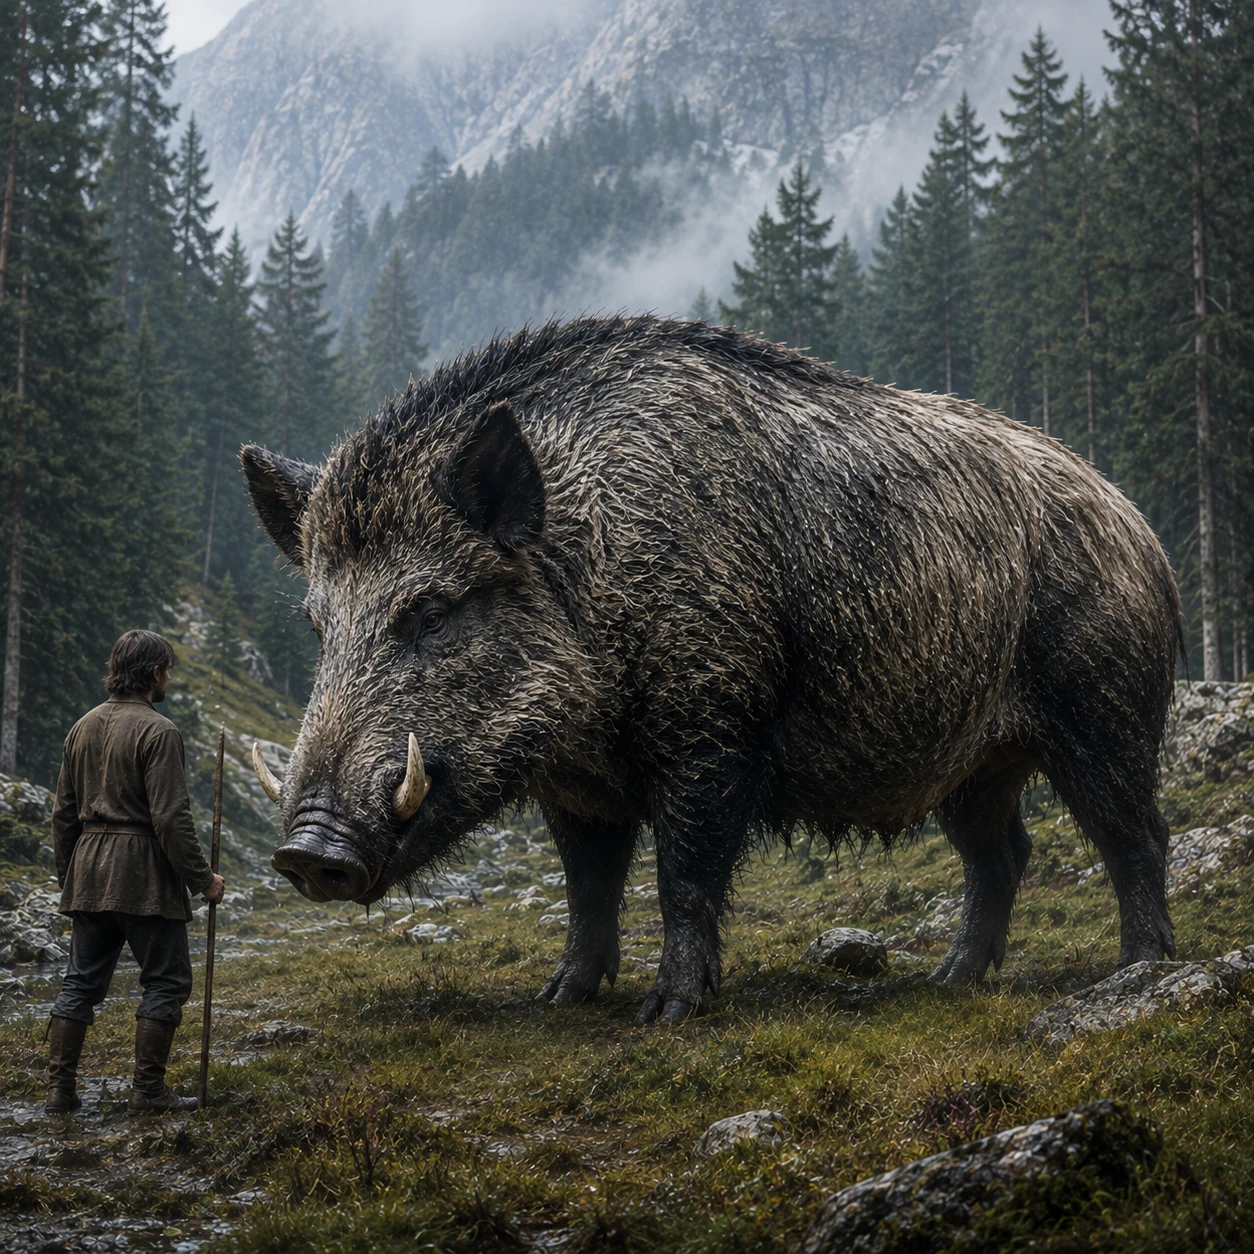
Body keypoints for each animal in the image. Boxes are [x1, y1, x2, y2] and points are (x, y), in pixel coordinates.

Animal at [241, 315, 1182, 1024]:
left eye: (430, 613)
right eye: (318, 625)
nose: (306, 851)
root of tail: (1141, 528)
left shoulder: (712, 724)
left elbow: (684, 874)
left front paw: (668, 1013)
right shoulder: (576, 784)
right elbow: (588, 885)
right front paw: (559, 998)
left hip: (1106, 704)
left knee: (1134, 833)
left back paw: (1136, 973)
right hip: (971, 761)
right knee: (1003, 851)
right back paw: (950, 981)